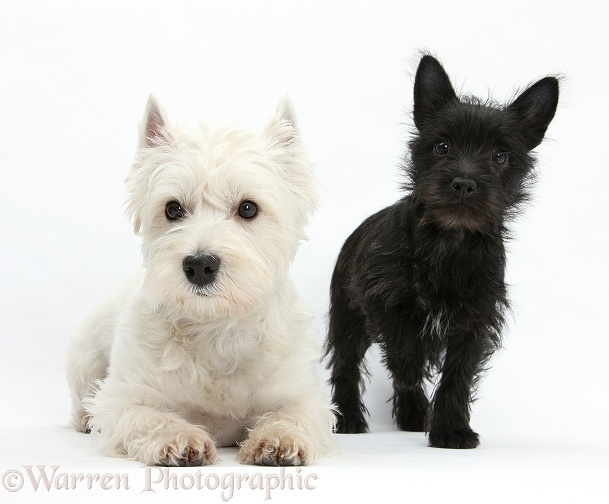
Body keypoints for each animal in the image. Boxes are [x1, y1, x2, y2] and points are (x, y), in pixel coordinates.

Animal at [66, 96, 338, 466]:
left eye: (248, 208)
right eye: (172, 209)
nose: (199, 265)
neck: (216, 329)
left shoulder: (303, 395)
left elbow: (293, 414)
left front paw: (278, 440)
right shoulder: (124, 398)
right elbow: (148, 416)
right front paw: (178, 439)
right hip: (85, 356)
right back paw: (82, 418)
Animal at [326, 55, 560, 448]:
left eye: (500, 156)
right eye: (442, 147)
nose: (464, 183)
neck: (450, 239)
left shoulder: (475, 322)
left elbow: (456, 377)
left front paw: (451, 430)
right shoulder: (383, 300)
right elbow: (405, 353)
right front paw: (415, 379)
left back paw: (414, 415)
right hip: (348, 321)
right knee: (346, 367)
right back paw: (349, 419)